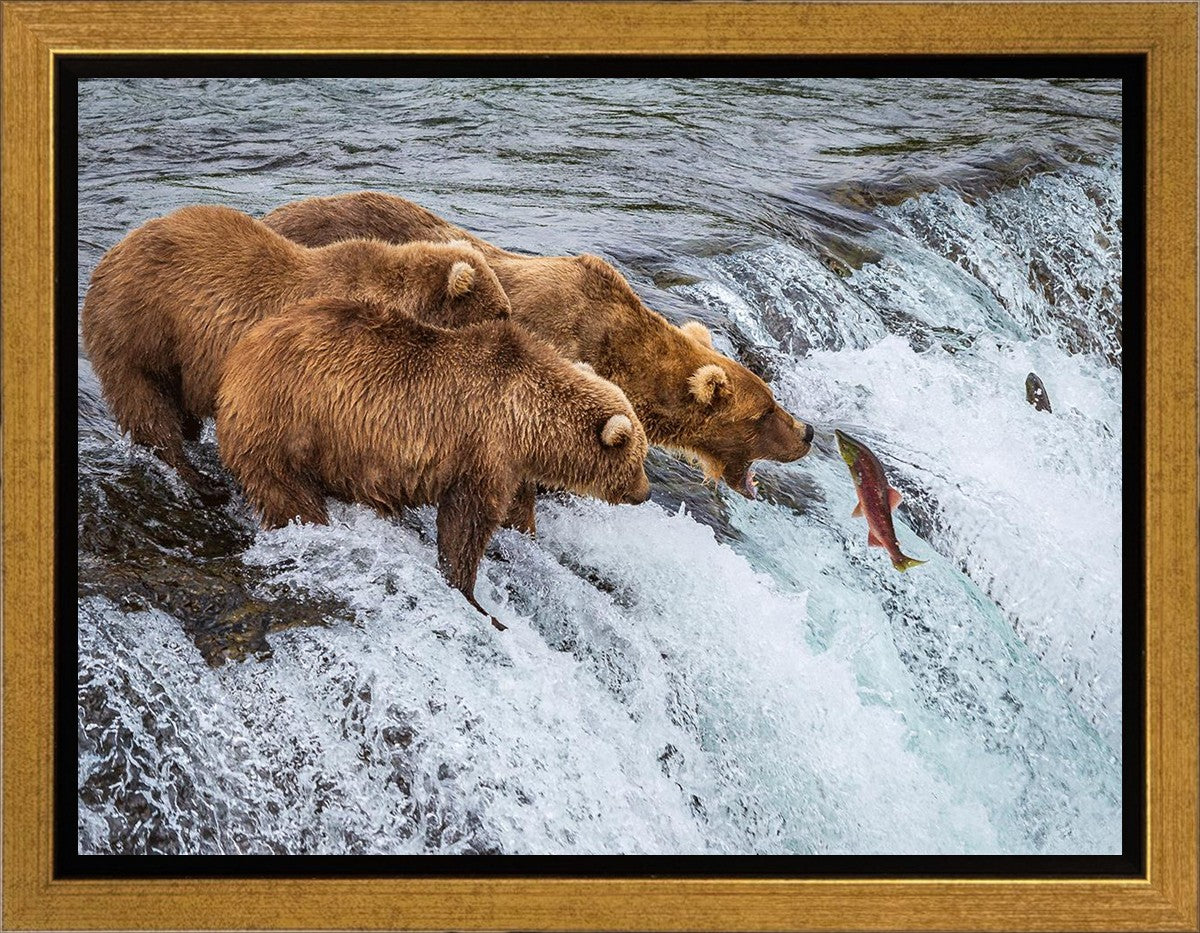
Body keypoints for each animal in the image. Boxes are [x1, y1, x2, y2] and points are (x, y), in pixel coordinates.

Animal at [81, 204, 511, 502]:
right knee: (147, 405)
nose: (513, 331)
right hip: (141, 329)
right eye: (501, 312)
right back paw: (200, 480)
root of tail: (110, 255)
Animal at [215, 296, 651, 629]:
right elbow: (467, 523)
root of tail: (239, 355)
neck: (527, 420)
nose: (645, 493)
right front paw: (475, 599)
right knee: (289, 494)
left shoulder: (510, 463)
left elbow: (515, 510)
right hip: (287, 424)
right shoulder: (482, 447)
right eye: (639, 458)